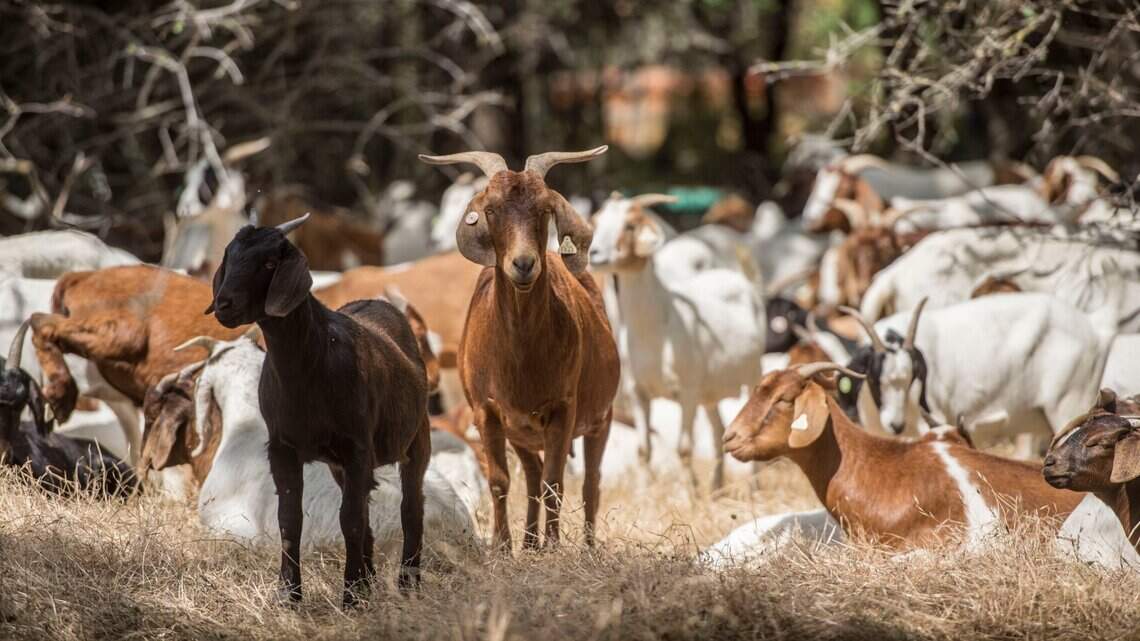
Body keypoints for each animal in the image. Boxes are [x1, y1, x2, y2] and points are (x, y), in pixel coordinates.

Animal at [206, 213, 431, 605]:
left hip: (417, 439)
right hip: (341, 464)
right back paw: (372, 578)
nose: (224, 304)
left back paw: (406, 583)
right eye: (229, 256)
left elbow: (350, 519)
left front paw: (352, 596)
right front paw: (289, 593)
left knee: (411, 507)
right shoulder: (282, 447)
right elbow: (290, 518)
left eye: (269, 263)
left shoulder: (356, 447)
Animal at [418, 146, 620, 550]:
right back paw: (528, 542)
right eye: (491, 209)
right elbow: (501, 482)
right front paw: (502, 546)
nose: (524, 264)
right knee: (531, 476)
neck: (520, 356)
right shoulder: (488, 412)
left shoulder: (563, 409)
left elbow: (556, 482)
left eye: (544, 209)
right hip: (522, 432)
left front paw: (554, 546)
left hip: (600, 419)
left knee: (590, 482)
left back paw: (587, 546)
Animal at [589, 191, 765, 490]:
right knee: (718, 430)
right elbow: (643, 449)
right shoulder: (638, 392)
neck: (654, 329)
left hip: (751, 375)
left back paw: (752, 488)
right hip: (710, 392)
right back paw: (716, 488)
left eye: (630, 226)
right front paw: (644, 492)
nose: (595, 254)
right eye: (597, 222)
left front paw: (688, 495)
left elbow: (684, 448)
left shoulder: (687, 391)